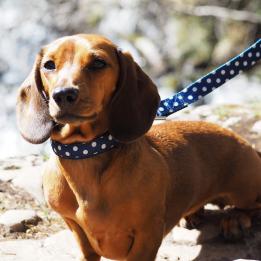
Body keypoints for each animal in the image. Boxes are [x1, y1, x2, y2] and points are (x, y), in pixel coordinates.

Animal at [16, 35, 260, 260]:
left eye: (98, 63)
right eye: (49, 64)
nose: (63, 94)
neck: (86, 153)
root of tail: (246, 144)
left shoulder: (147, 234)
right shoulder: (76, 229)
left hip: (243, 191)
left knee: (253, 206)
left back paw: (235, 220)